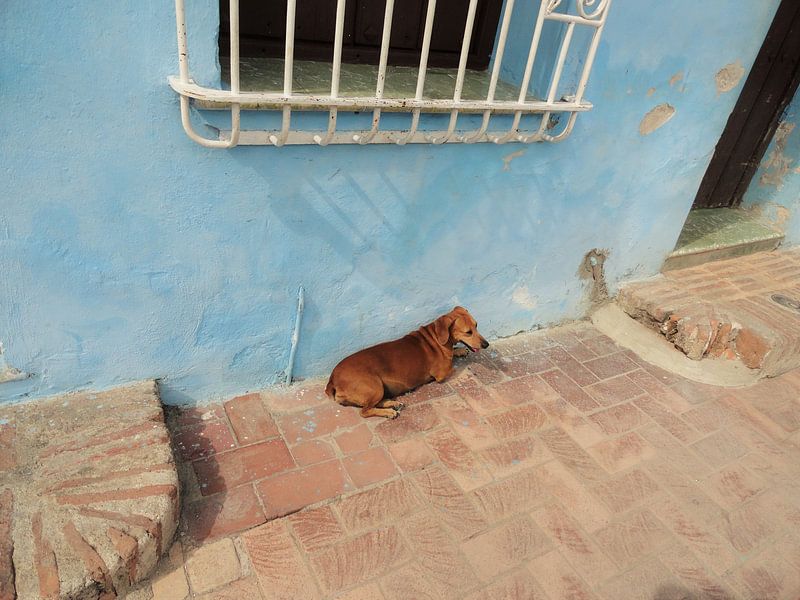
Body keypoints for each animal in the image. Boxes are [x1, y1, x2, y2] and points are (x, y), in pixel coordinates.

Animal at [324, 308, 488, 420]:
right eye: (468, 332)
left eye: (477, 325)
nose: (486, 344)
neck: (436, 337)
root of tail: (332, 380)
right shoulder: (442, 374)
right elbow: (454, 365)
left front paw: (459, 350)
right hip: (375, 387)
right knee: (364, 411)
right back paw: (389, 412)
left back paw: (392, 404)